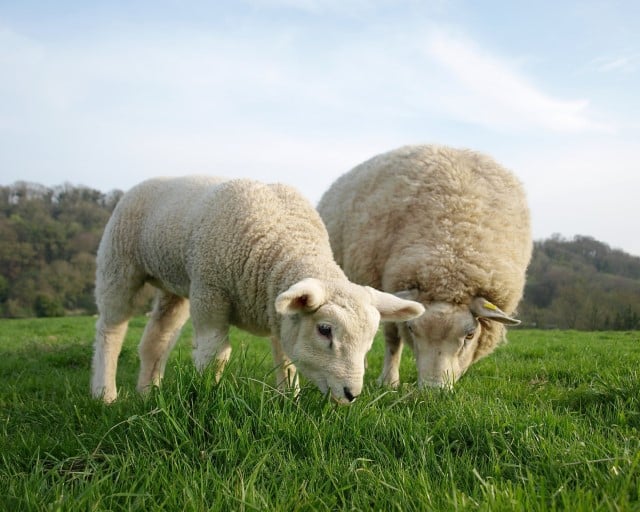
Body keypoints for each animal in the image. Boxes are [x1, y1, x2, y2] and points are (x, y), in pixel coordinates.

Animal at [91, 176, 424, 404]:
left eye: (369, 339)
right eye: (325, 330)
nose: (351, 394)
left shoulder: (280, 310)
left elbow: (286, 361)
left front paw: (289, 399)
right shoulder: (210, 293)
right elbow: (215, 353)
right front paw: (208, 395)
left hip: (173, 287)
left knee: (155, 340)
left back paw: (147, 393)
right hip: (118, 263)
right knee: (110, 330)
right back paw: (104, 393)